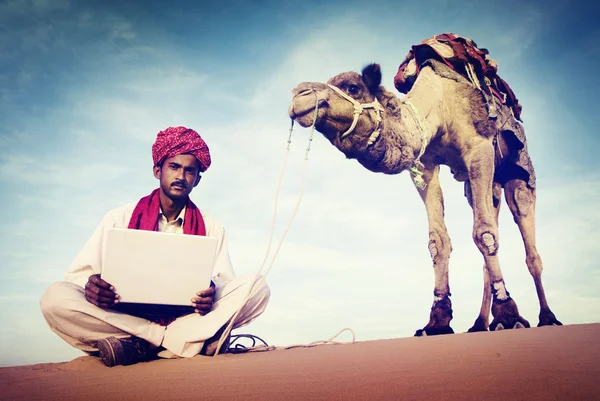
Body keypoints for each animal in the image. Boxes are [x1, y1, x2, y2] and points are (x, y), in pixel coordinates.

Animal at [288, 54, 560, 332]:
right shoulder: (424, 165)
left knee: (525, 231)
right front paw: (437, 319)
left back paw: (545, 317)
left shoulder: (479, 147)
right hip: (485, 184)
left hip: (519, 168)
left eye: (353, 87)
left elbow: (483, 233)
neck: (440, 105)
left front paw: (509, 313)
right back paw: (480, 323)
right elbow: (438, 241)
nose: (299, 94)